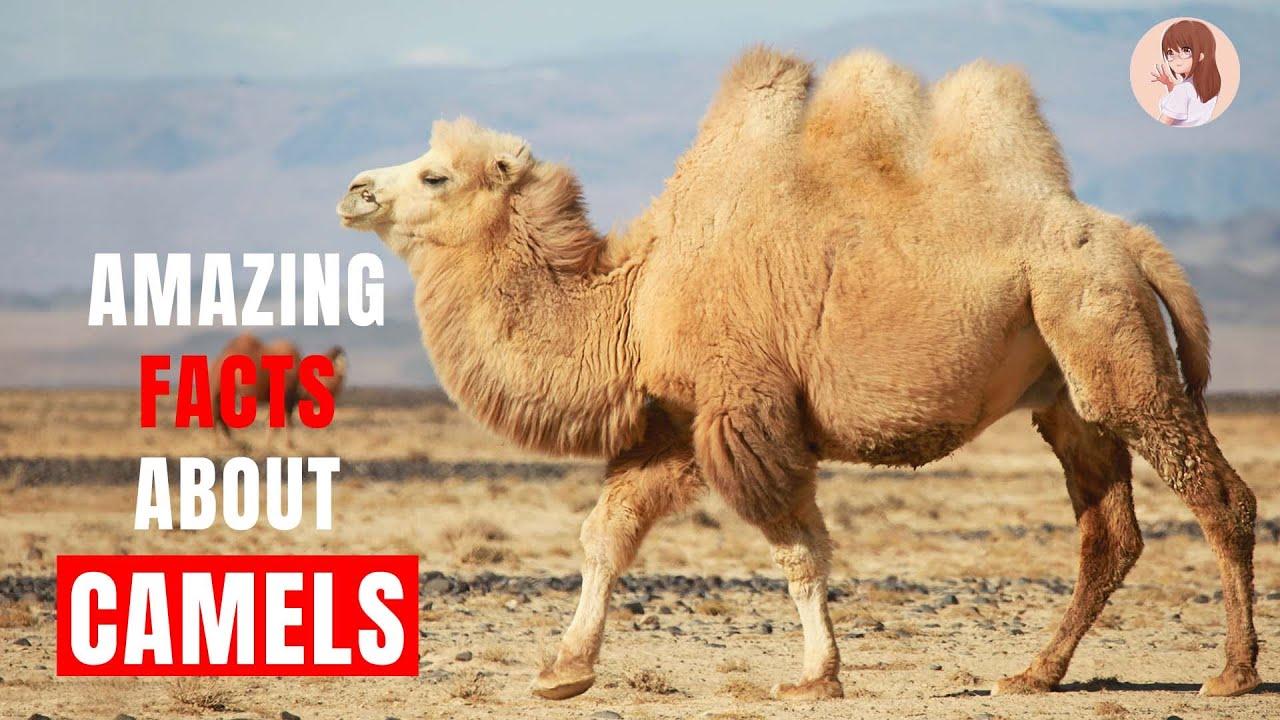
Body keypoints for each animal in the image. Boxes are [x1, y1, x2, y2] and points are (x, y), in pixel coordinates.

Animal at [336, 48, 1259, 700]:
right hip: (1067, 386)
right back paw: (1034, 674)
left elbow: (797, 548)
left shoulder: (745, 409)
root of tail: (1128, 239)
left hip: (1107, 338)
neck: (635, 299)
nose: (353, 189)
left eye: (434, 173)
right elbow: (607, 534)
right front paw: (564, 671)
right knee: (1109, 533)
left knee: (1219, 495)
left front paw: (816, 677)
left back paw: (1231, 674)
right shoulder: (678, 422)